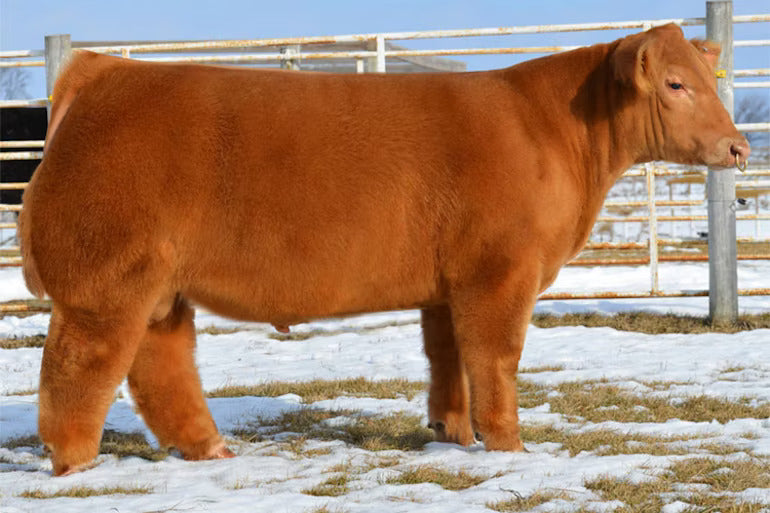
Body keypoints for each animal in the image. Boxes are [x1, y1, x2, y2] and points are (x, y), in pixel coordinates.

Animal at [20, 23, 749, 476]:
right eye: (676, 84)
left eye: (708, 79)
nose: (739, 147)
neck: (553, 131)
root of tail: (102, 73)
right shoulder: (500, 273)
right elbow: (495, 360)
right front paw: (509, 446)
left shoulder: (449, 282)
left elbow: (449, 361)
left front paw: (454, 434)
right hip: (105, 282)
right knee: (79, 369)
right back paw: (76, 463)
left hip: (160, 288)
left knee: (159, 366)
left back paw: (211, 451)